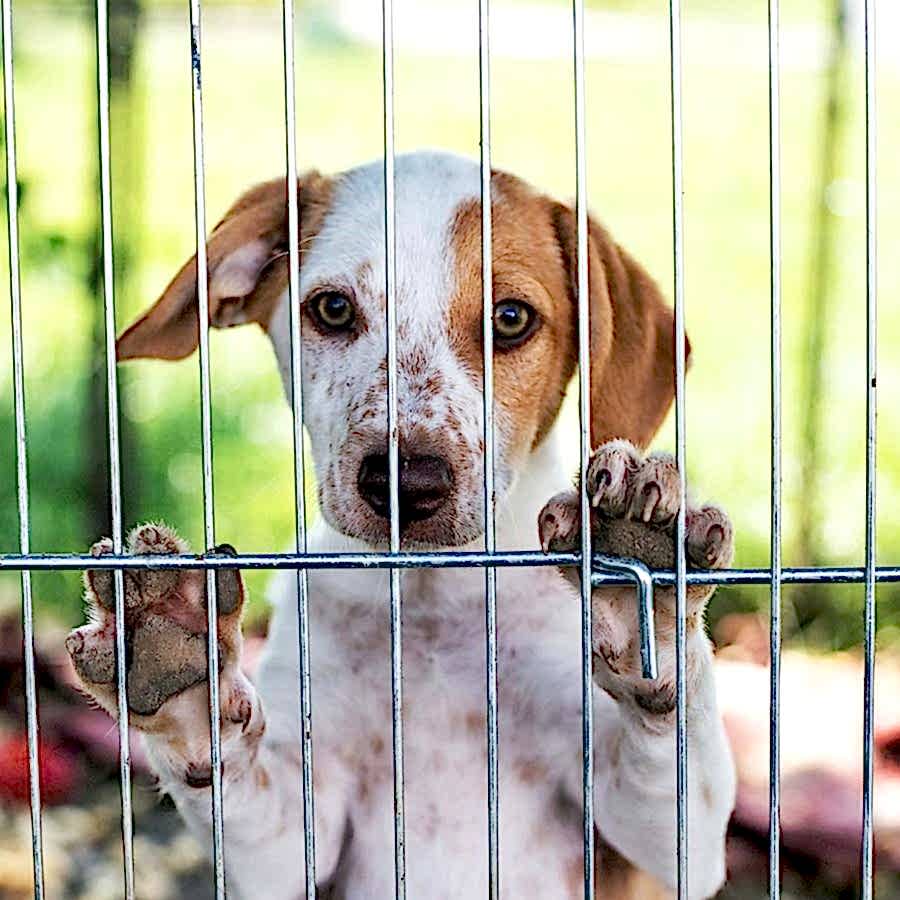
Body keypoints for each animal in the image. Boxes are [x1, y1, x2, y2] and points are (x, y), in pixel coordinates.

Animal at [66, 151, 736, 898]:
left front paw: (640, 589)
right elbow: (228, 777)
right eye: (332, 309)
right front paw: (178, 668)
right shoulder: (292, 841)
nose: (405, 482)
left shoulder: (663, 853)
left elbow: (675, 746)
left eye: (511, 319)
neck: (429, 595)